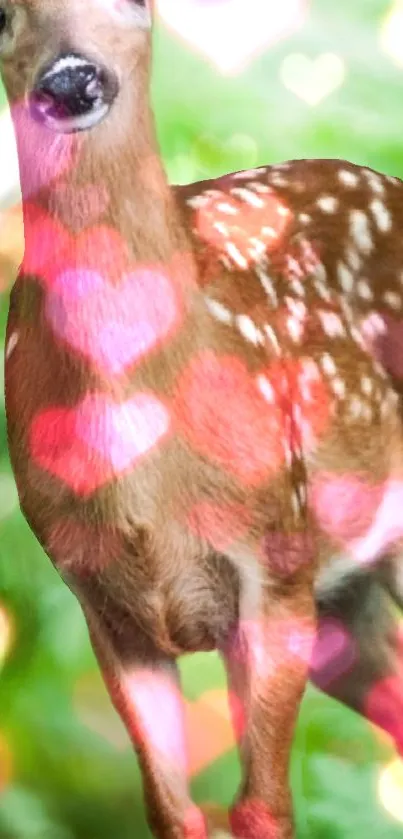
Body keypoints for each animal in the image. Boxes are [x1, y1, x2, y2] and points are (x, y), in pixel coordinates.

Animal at [0, 0, 403, 836]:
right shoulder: (100, 600)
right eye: (4, 14)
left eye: (137, 4)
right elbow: (171, 810)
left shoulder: (274, 564)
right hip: (347, 602)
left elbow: (261, 808)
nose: (74, 78)